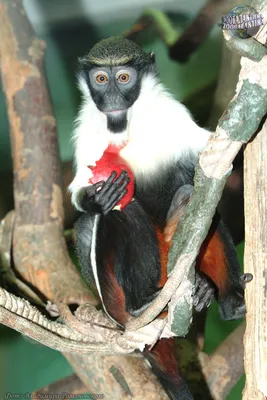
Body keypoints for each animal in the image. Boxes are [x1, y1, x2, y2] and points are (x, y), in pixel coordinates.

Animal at [69, 36, 253, 400]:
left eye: (124, 78)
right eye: (101, 79)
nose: (112, 98)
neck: (125, 125)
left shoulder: (173, 113)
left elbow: (199, 164)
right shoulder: (85, 130)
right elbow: (84, 200)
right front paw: (95, 199)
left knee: (202, 209)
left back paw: (224, 300)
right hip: (119, 293)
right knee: (110, 216)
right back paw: (141, 304)